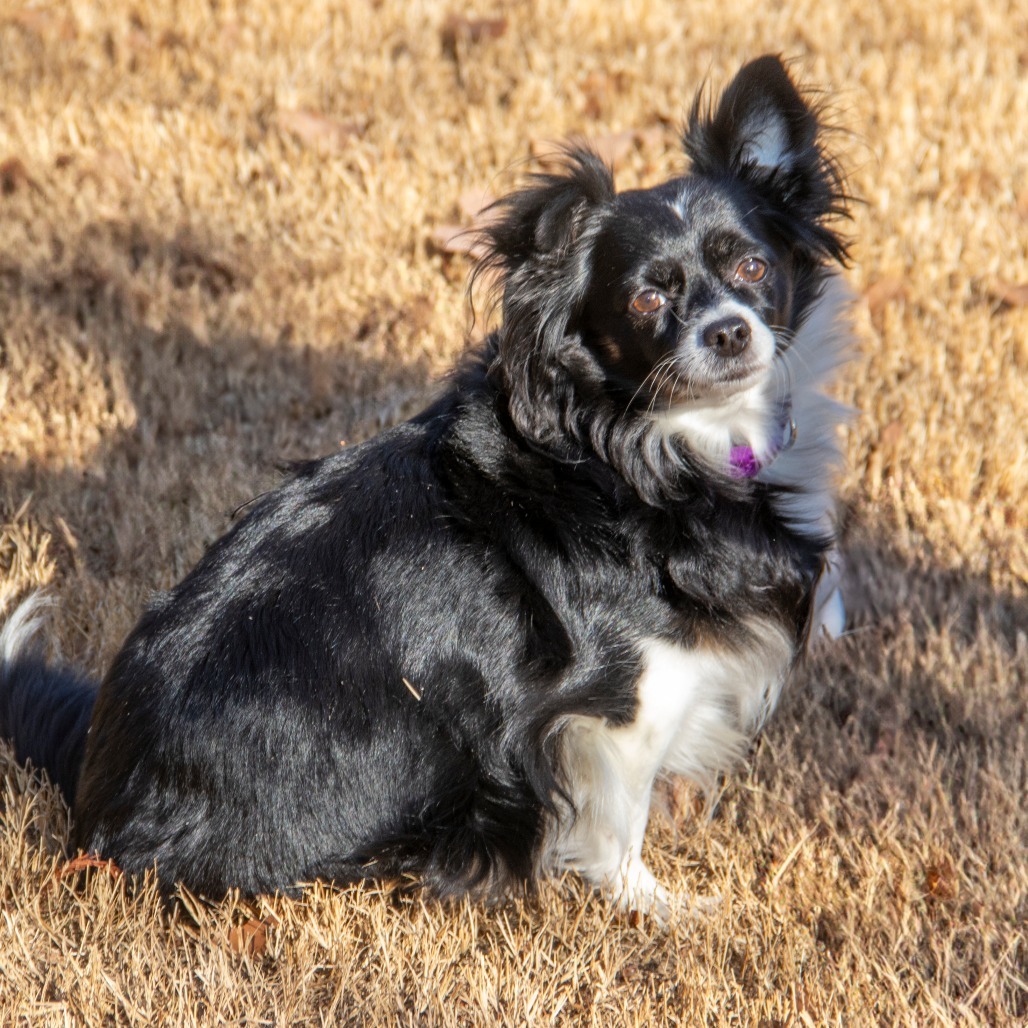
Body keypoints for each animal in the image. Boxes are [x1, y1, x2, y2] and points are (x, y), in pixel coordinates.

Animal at [0, 56, 851, 916]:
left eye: (753, 266)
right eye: (647, 299)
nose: (728, 331)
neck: (646, 446)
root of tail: (102, 804)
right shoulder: (619, 700)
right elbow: (619, 821)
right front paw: (660, 908)